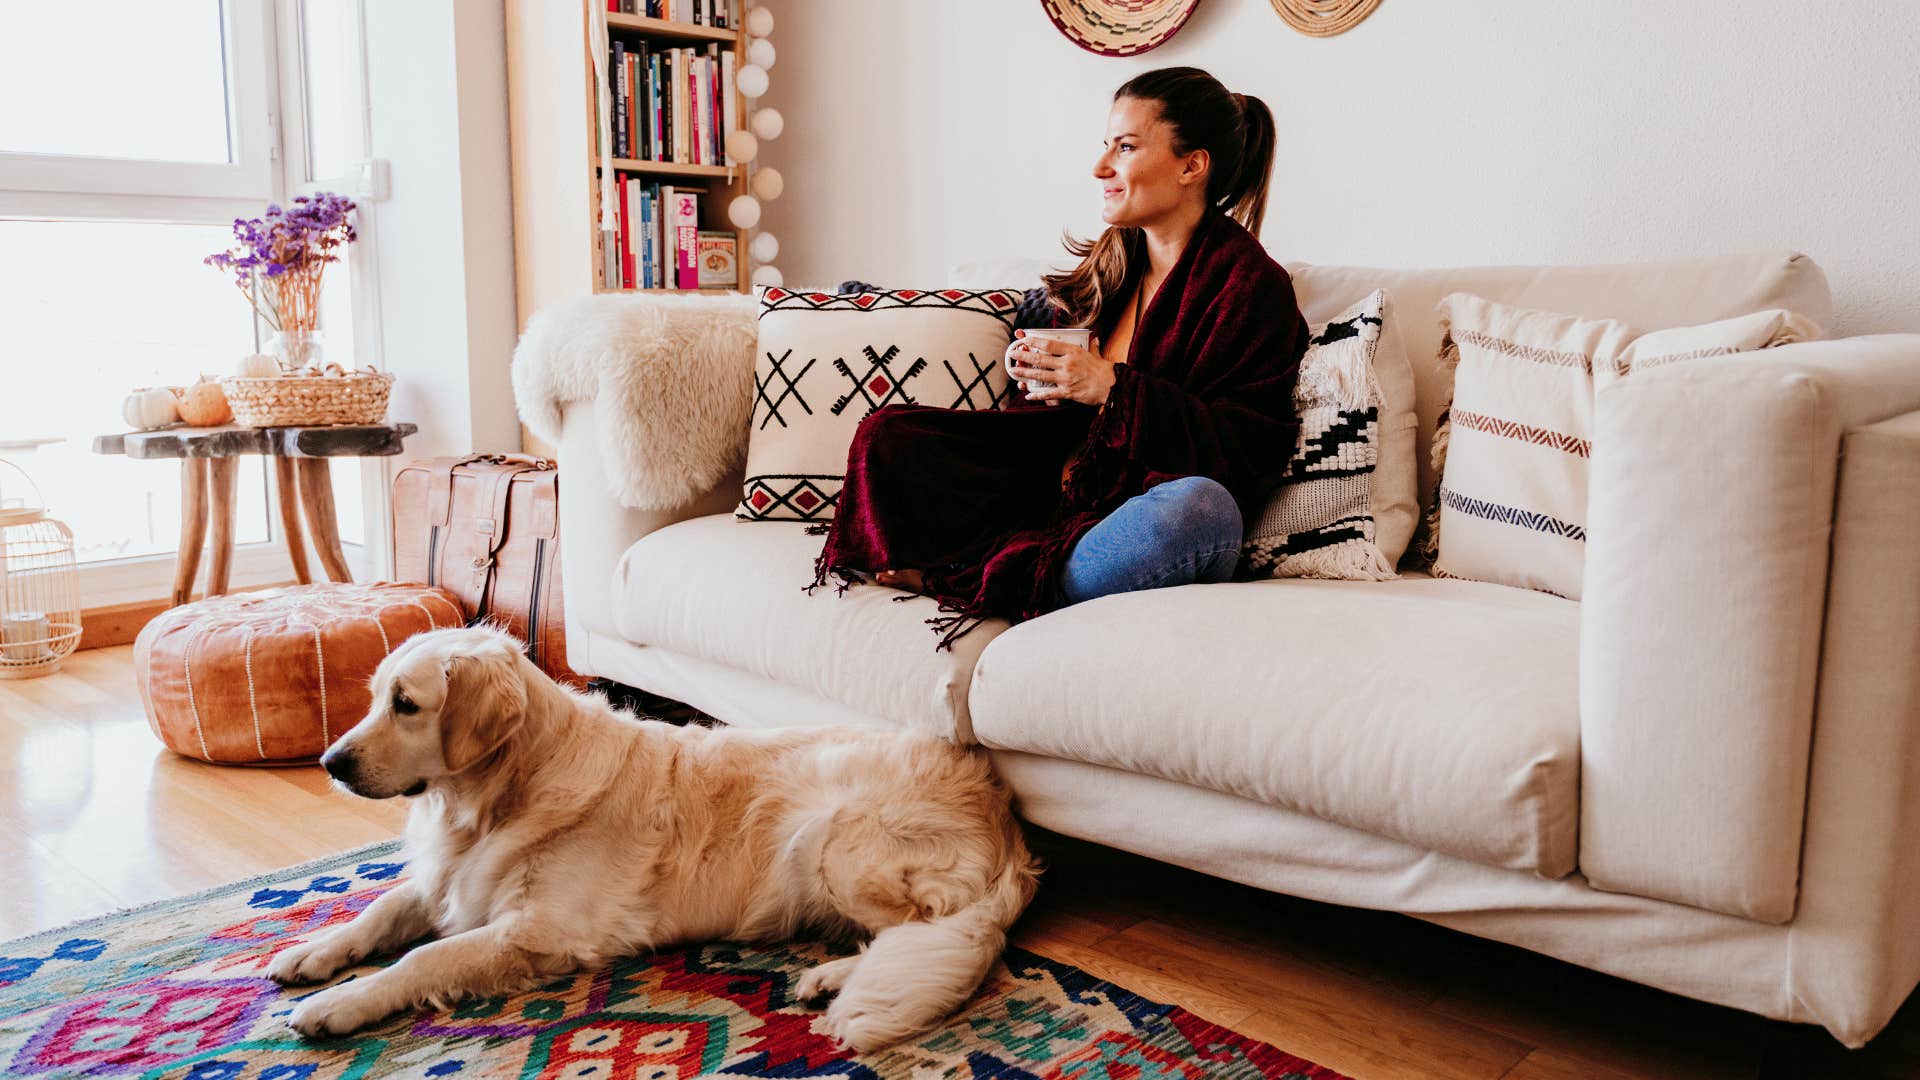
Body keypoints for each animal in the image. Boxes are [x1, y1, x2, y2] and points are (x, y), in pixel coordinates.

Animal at [270, 626, 1036, 1045]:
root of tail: (1001, 809)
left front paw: (338, 1005)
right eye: (376, 697)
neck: (499, 797)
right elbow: (381, 909)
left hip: (830, 839)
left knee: (932, 928)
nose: (330, 763)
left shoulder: (542, 932)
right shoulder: (450, 880)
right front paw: (313, 953)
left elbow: (422, 959)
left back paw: (830, 978)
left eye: (406, 705)